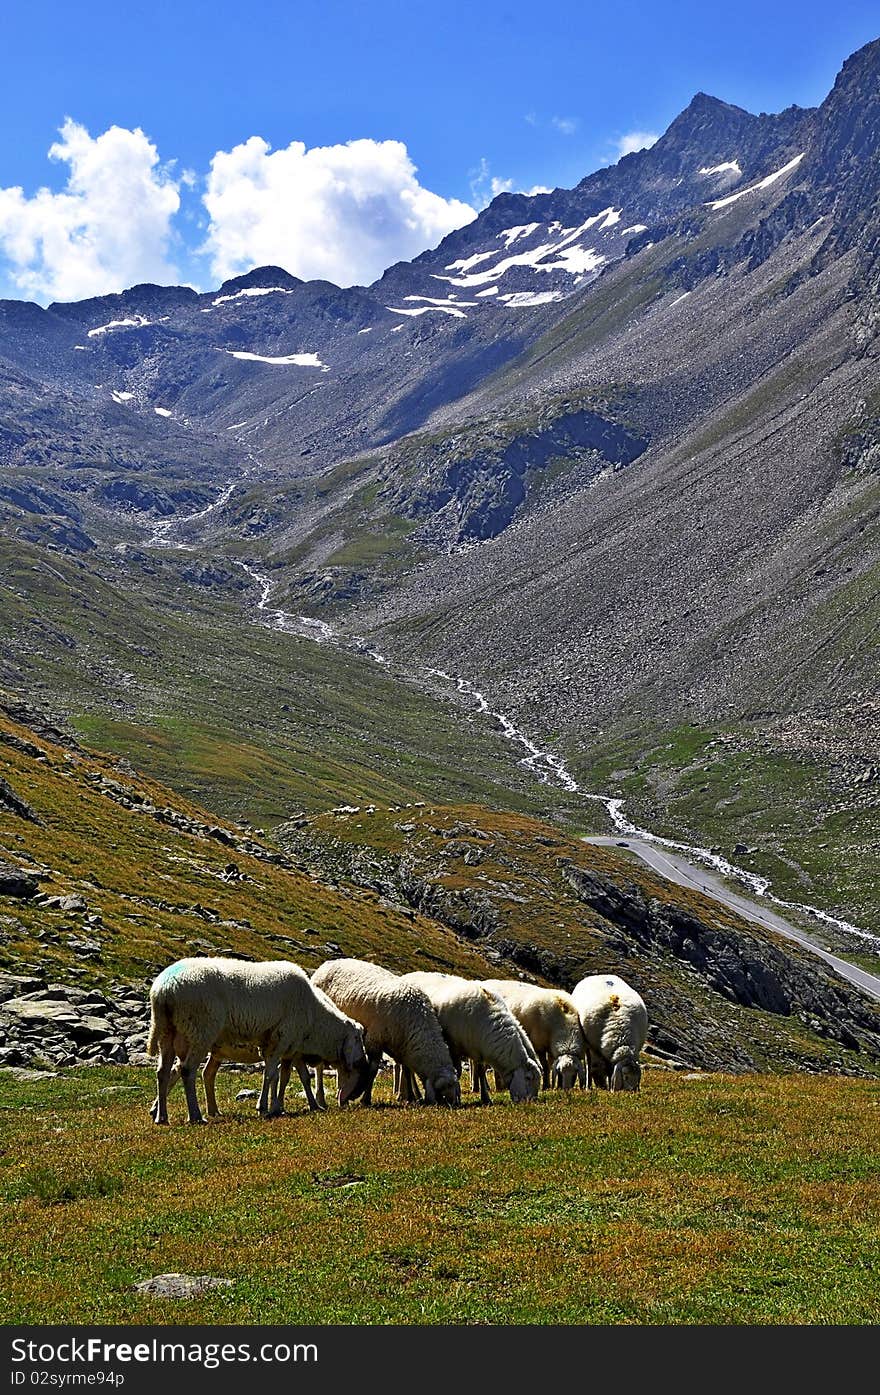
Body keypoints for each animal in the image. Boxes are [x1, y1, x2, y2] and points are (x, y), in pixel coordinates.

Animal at [147, 954, 368, 1127]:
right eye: (359, 1039)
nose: (350, 1100)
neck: (316, 1022)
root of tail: (164, 989)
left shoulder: (290, 1047)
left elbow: (289, 1077)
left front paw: (284, 1106)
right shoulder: (281, 1039)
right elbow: (271, 1075)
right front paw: (264, 1107)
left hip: (169, 1032)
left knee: (164, 1071)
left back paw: (162, 1116)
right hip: (199, 1030)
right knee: (186, 1070)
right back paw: (195, 1116)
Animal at [310, 954, 460, 1104]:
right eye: (442, 1094)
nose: (450, 1104)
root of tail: (327, 964)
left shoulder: (403, 1047)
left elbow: (406, 1071)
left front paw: (410, 1097)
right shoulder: (374, 1040)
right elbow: (373, 1070)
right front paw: (366, 1099)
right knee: (319, 1067)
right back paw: (322, 1097)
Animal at [401, 970, 541, 1099]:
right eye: (528, 1078)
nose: (531, 1101)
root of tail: (408, 975)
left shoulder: (478, 1048)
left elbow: (480, 1072)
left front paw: (485, 1098)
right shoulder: (453, 1047)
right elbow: (458, 1072)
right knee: (407, 1069)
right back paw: (413, 1095)